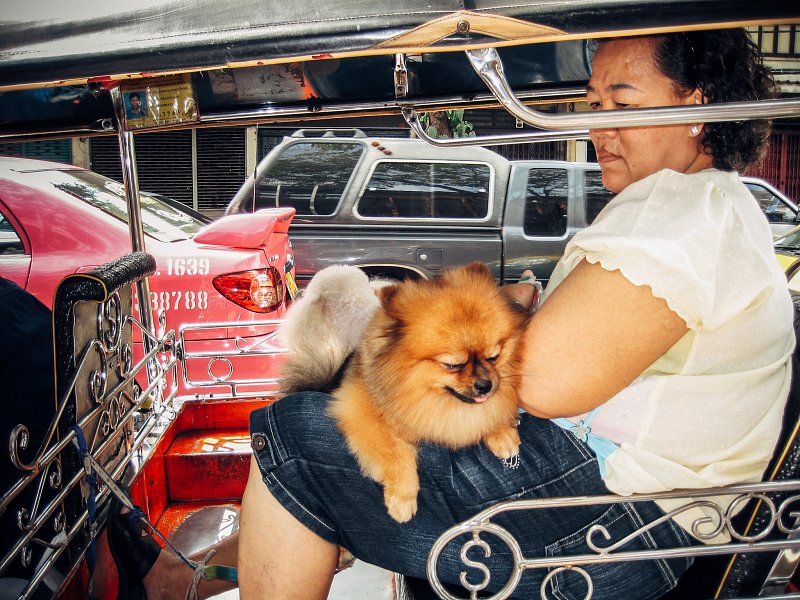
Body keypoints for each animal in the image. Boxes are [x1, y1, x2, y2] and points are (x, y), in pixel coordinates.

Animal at [278, 262, 528, 520]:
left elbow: (490, 412)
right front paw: (403, 495)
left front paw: (501, 431)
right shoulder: (360, 407)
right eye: (453, 365)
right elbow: (395, 450)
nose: (485, 385)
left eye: (493, 356)